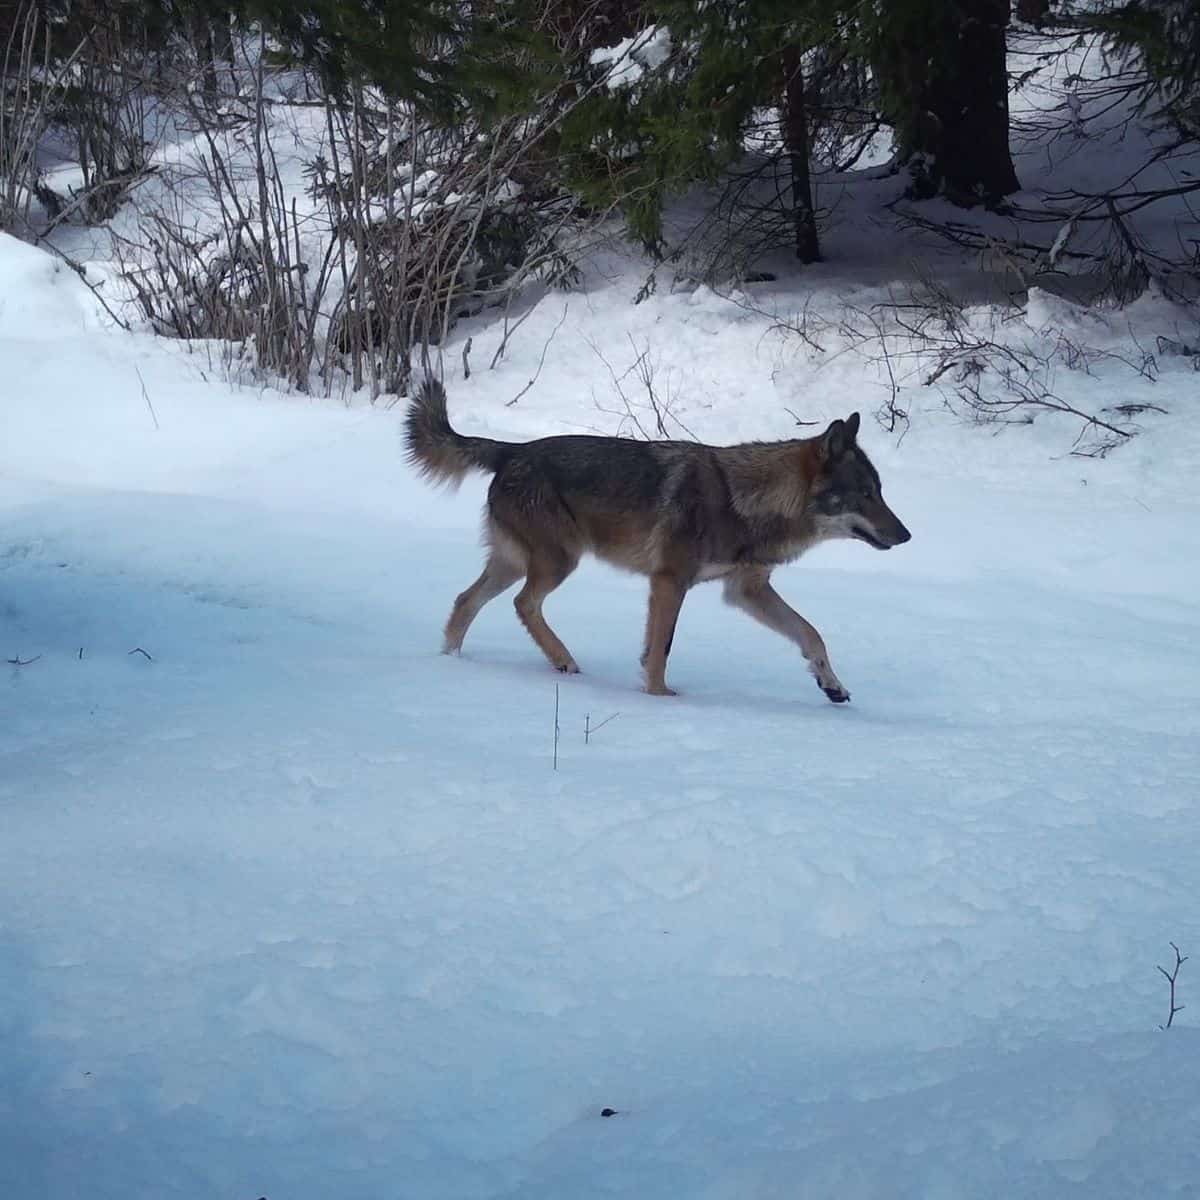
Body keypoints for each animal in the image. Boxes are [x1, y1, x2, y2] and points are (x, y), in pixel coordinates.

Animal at [405, 379, 907, 700]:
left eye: (881, 490)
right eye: (866, 493)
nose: (906, 535)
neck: (745, 500)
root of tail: (512, 450)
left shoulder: (745, 590)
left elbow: (811, 633)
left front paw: (832, 685)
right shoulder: (670, 582)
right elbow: (661, 650)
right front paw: (661, 697)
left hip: (515, 563)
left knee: (466, 601)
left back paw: (452, 661)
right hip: (557, 562)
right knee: (522, 604)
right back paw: (563, 661)